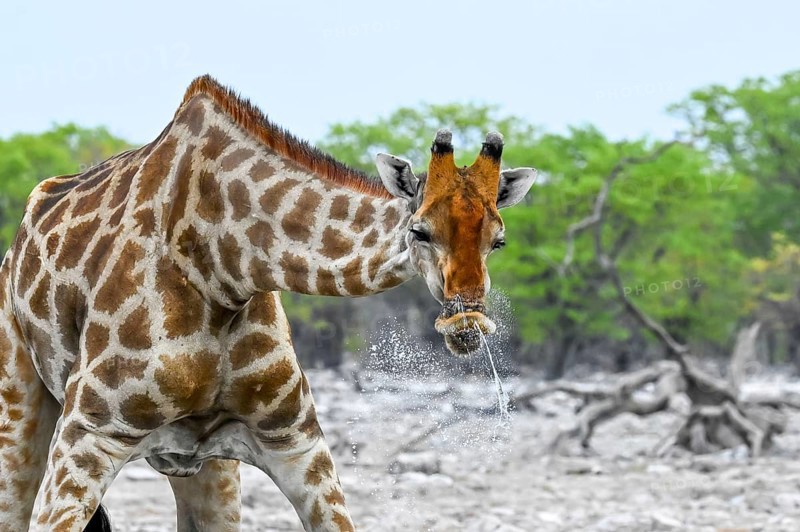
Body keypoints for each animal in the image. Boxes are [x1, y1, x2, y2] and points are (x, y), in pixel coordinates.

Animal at [0, 75, 537, 531]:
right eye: (420, 231)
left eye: (498, 240)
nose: (466, 326)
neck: (222, 265)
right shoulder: (89, 435)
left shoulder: (295, 442)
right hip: (19, 406)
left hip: (202, 464)